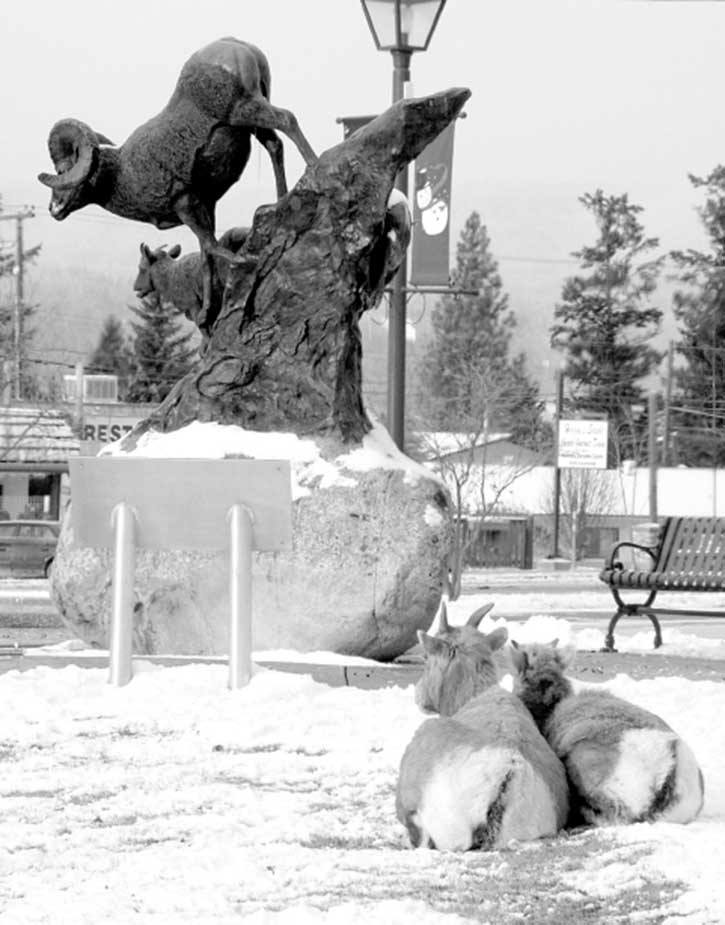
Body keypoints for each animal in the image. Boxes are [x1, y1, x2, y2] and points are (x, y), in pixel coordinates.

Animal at [38, 36, 316, 316]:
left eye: (61, 172)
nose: (54, 209)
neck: (122, 175)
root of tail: (236, 45)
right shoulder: (206, 206)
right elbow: (206, 254)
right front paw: (206, 311)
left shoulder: (185, 204)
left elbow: (212, 246)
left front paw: (247, 262)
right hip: (251, 120)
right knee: (275, 144)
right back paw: (280, 199)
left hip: (242, 109)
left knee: (287, 119)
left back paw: (313, 166)